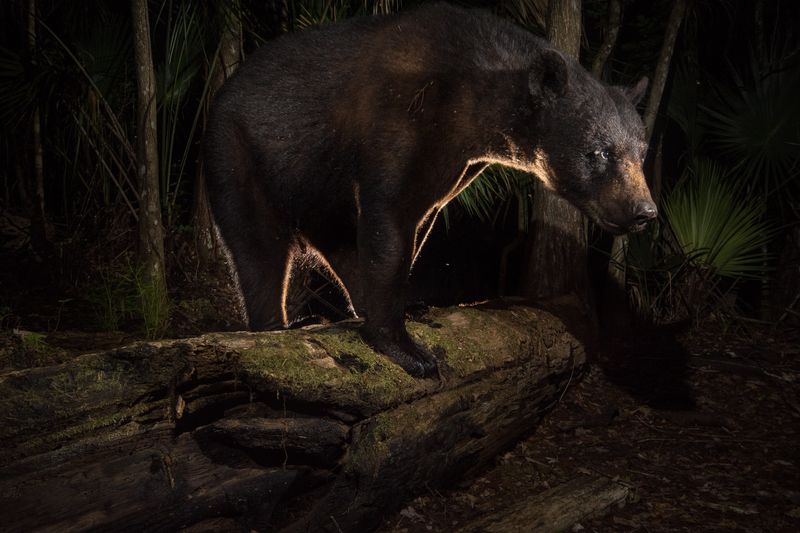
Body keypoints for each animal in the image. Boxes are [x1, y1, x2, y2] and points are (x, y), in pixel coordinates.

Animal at [204, 3, 656, 378]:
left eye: (641, 152)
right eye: (598, 152)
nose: (644, 211)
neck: (472, 102)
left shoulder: (455, 162)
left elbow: (417, 221)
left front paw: (409, 305)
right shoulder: (402, 114)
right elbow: (390, 214)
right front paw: (406, 349)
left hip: (318, 189)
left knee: (338, 242)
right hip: (239, 153)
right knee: (259, 249)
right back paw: (276, 324)